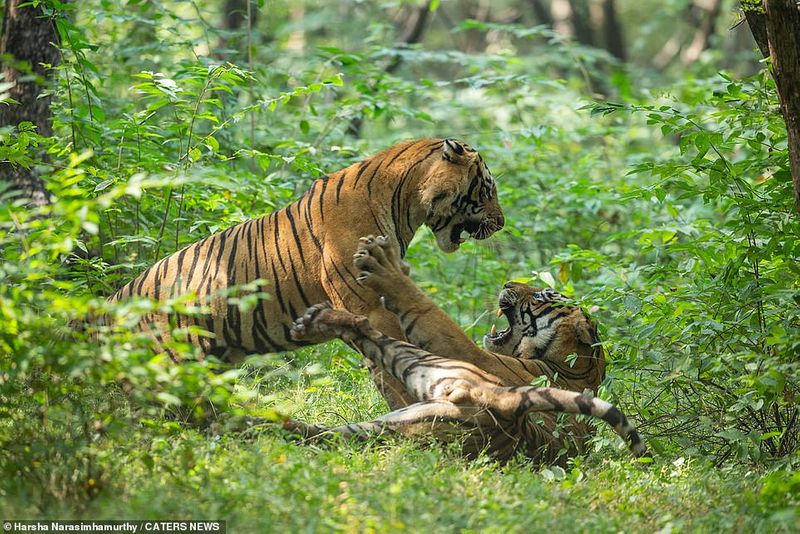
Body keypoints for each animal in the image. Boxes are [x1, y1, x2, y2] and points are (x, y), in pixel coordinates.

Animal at [109, 139, 504, 410]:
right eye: (488, 189)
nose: (501, 223)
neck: (404, 204)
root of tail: (114, 300)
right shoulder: (369, 306)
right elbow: (391, 361)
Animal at [284, 237, 648, 462]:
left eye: (542, 296)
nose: (507, 283)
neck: (577, 370)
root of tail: (508, 406)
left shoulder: (471, 353)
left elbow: (428, 312)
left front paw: (387, 275)